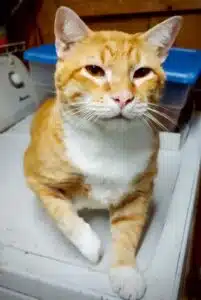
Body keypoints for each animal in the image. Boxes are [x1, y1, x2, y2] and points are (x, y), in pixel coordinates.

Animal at [23, 6, 182, 298]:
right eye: (94, 70)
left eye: (142, 72)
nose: (123, 98)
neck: (107, 142)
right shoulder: (36, 179)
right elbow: (62, 213)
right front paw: (90, 245)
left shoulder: (138, 194)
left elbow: (128, 234)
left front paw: (125, 273)